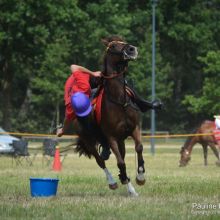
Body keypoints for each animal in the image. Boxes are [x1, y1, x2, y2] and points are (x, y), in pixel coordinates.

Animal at [75, 36, 145, 196]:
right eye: (113, 46)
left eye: (123, 41)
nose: (132, 49)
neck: (119, 101)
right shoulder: (111, 137)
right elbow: (120, 162)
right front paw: (129, 184)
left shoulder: (134, 129)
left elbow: (138, 148)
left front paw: (140, 176)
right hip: (89, 140)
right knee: (101, 161)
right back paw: (113, 182)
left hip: (121, 141)